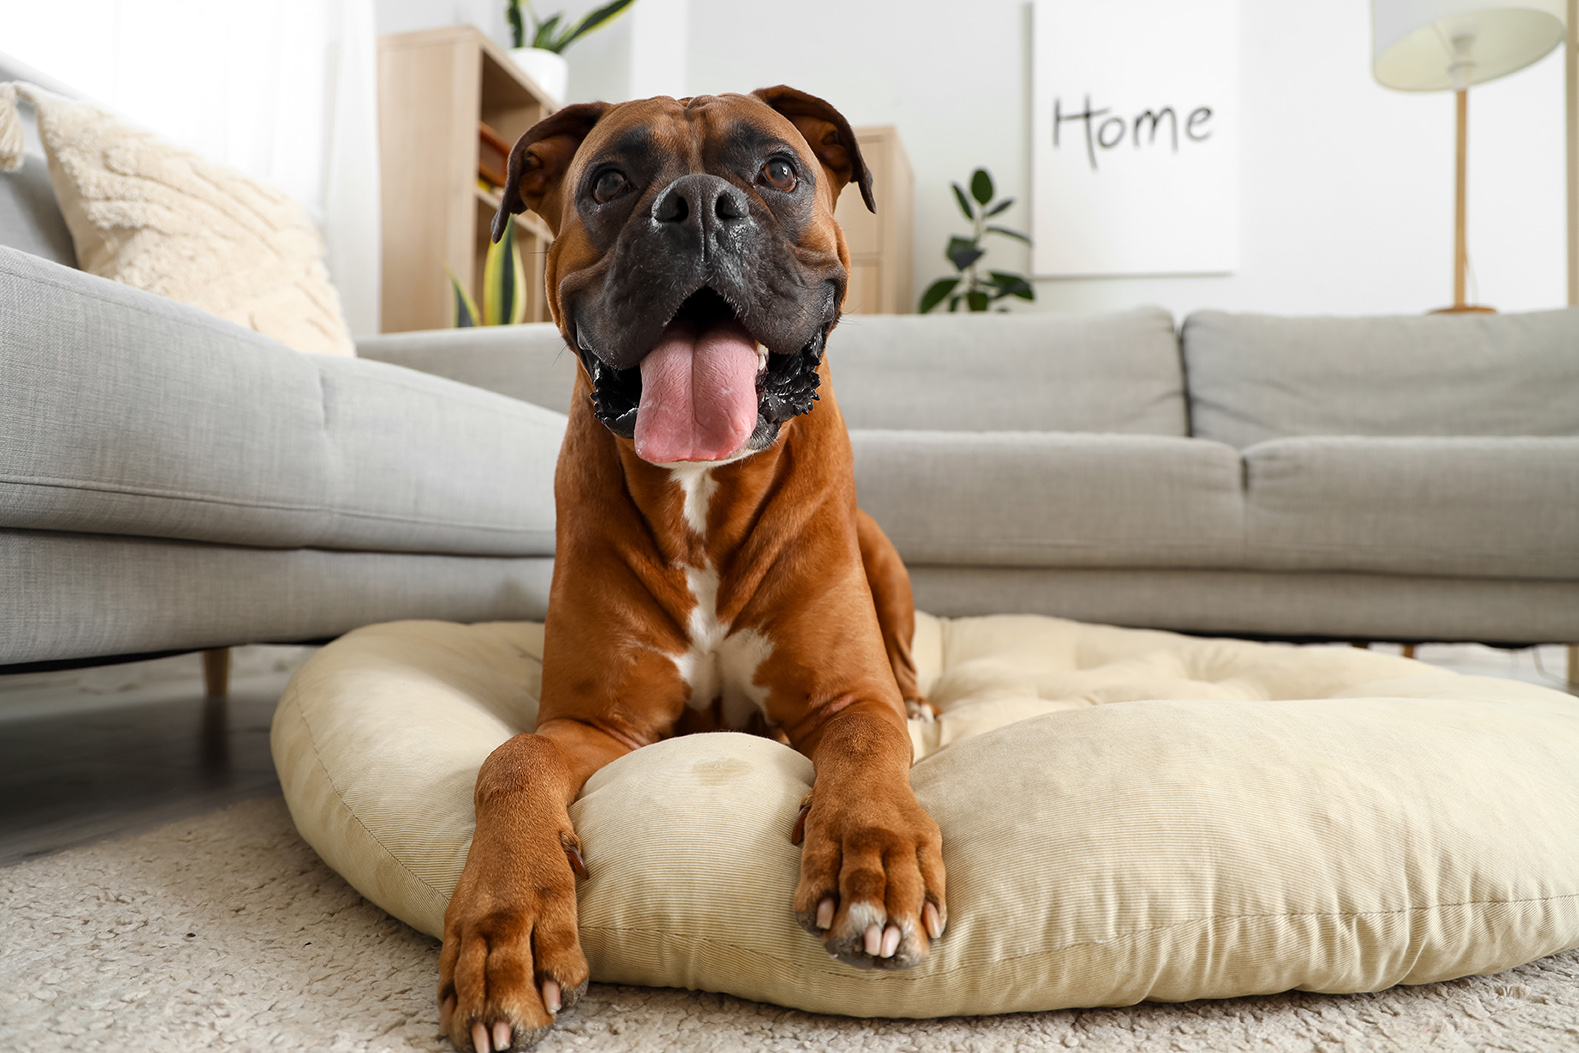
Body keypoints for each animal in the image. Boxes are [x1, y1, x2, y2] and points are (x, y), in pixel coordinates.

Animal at [438, 86, 941, 1048]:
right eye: (608, 181)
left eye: (778, 170)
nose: (701, 206)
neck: (703, 490)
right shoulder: (596, 725)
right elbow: (512, 758)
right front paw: (503, 927)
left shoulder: (844, 699)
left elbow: (869, 735)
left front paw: (872, 858)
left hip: (881, 555)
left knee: (903, 671)